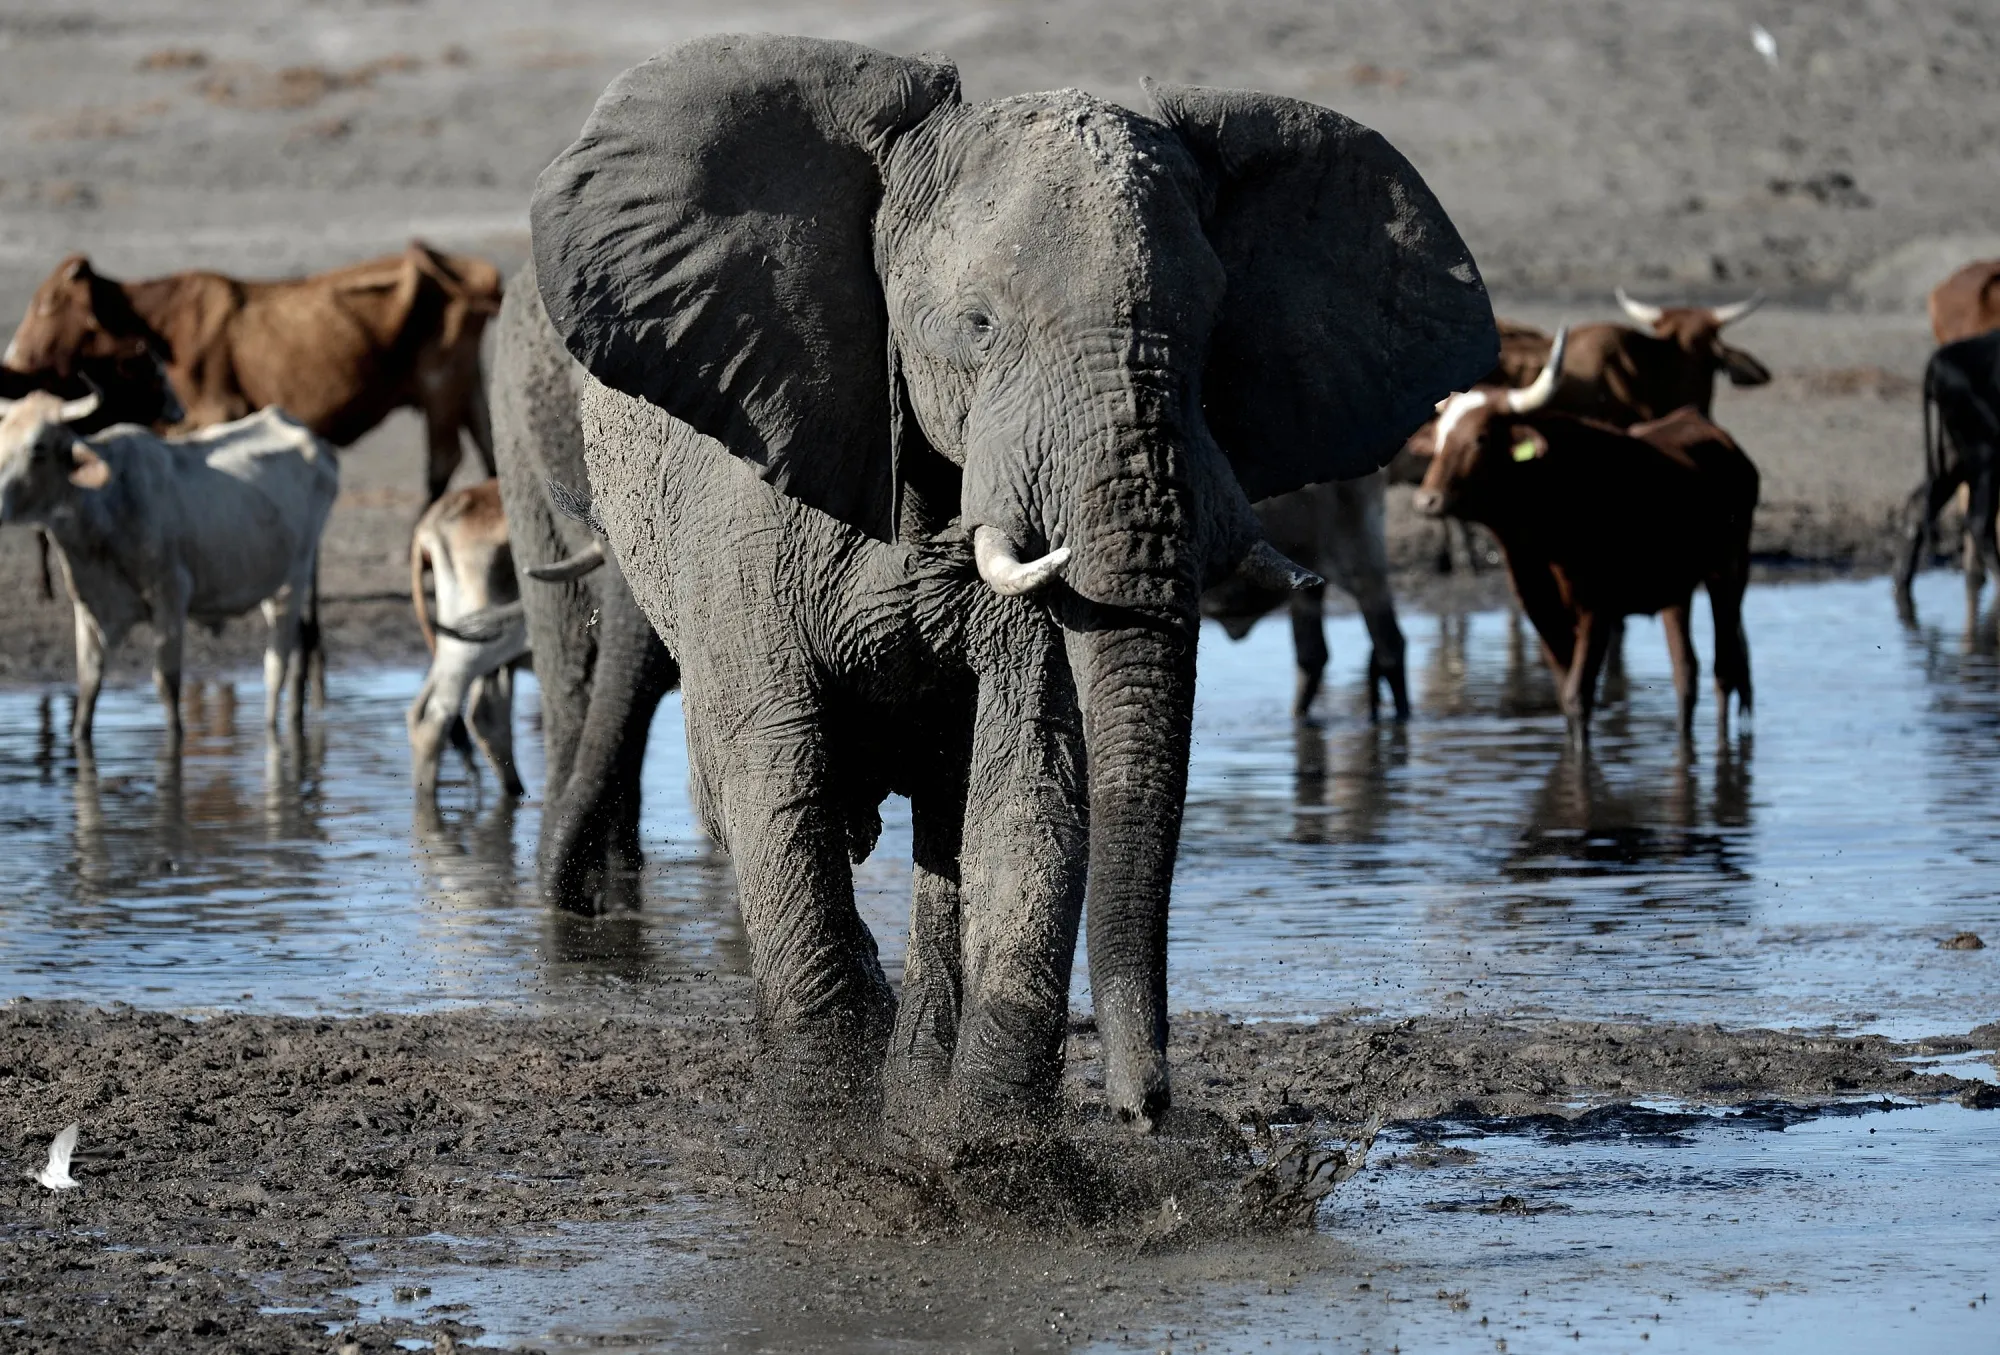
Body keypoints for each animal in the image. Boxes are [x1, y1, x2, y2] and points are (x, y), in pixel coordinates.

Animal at [525, 34, 1495, 1137]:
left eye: (1209, 333)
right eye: (978, 325)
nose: (1148, 1104)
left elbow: (1028, 783)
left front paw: (989, 1144)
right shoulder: (744, 515)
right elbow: (781, 775)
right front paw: (820, 1132)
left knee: (948, 822)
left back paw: (917, 1086)